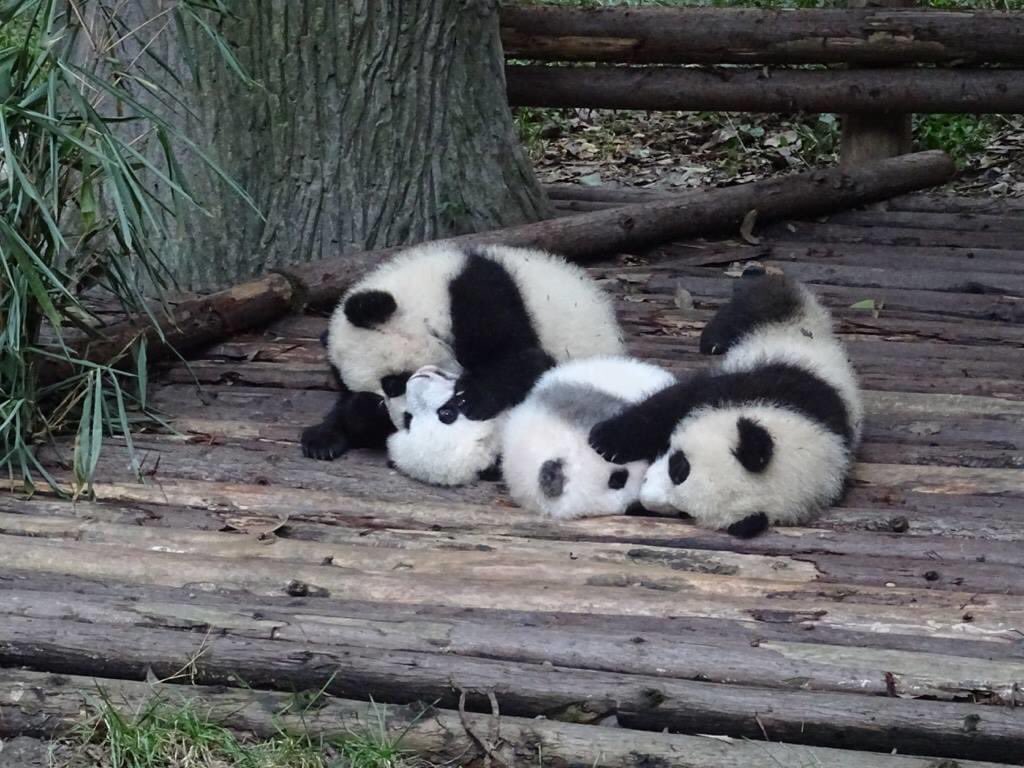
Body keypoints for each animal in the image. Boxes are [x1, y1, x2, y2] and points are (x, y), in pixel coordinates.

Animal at [301, 242, 624, 460]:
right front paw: (328, 435)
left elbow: (529, 361)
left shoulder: (480, 299)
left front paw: (471, 397)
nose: (402, 420)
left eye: (393, 383)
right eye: (379, 394)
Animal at [588, 273, 862, 538]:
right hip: (778, 322)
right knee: (759, 302)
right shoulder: (765, 386)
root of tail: (821, 329)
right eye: (680, 467)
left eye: (683, 513)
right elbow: (673, 403)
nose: (646, 497)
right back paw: (715, 337)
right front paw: (606, 441)